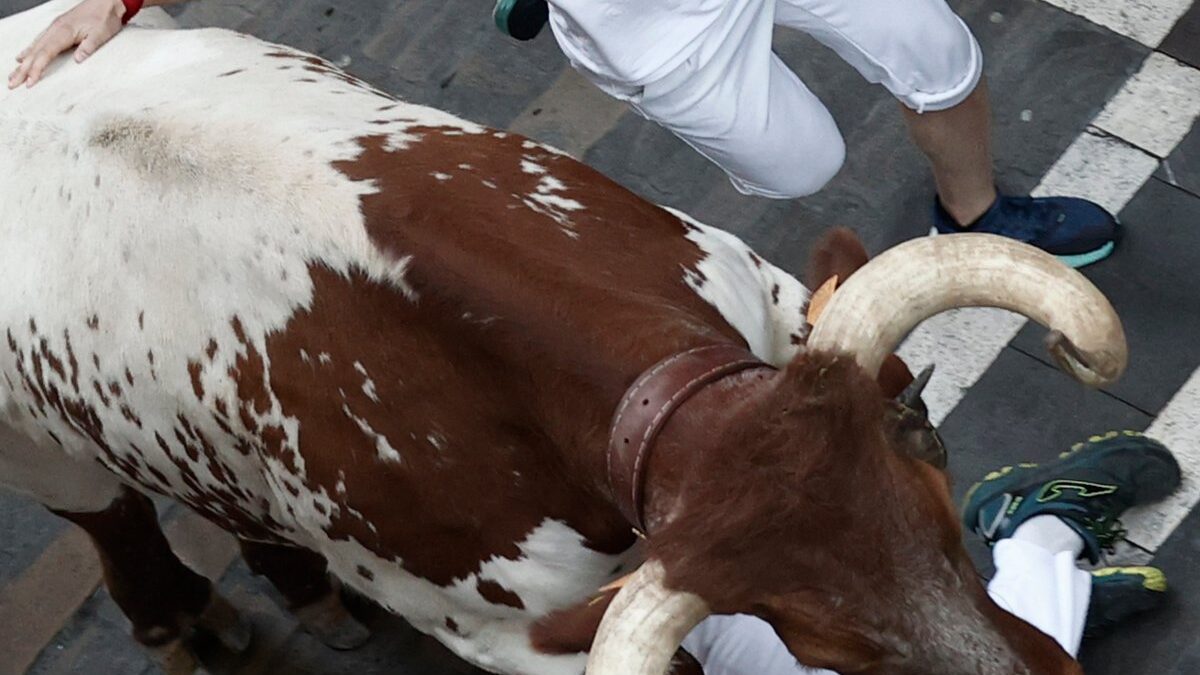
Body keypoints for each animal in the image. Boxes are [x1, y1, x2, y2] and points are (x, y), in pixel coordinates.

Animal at [0, 2, 1128, 667]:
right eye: (827, 641)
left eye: (940, 516)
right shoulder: (513, 638)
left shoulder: (756, 298)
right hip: (41, 447)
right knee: (110, 516)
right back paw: (183, 621)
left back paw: (296, 583)